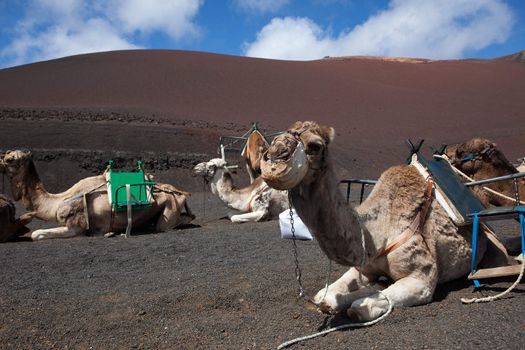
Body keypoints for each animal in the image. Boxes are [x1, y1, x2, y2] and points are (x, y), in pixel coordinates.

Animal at [0, 149, 194, 239]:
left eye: (9, 159)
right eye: (5, 155)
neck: (57, 201)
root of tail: (179, 191)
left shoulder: (75, 227)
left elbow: (36, 234)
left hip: (169, 208)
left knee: (167, 224)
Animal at [258, 121, 512, 322]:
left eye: (314, 145)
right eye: (278, 136)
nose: (274, 158)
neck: (377, 233)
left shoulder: (422, 279)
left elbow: (362, 307)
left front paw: (363, 296)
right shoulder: (363, 267)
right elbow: (327, 295)